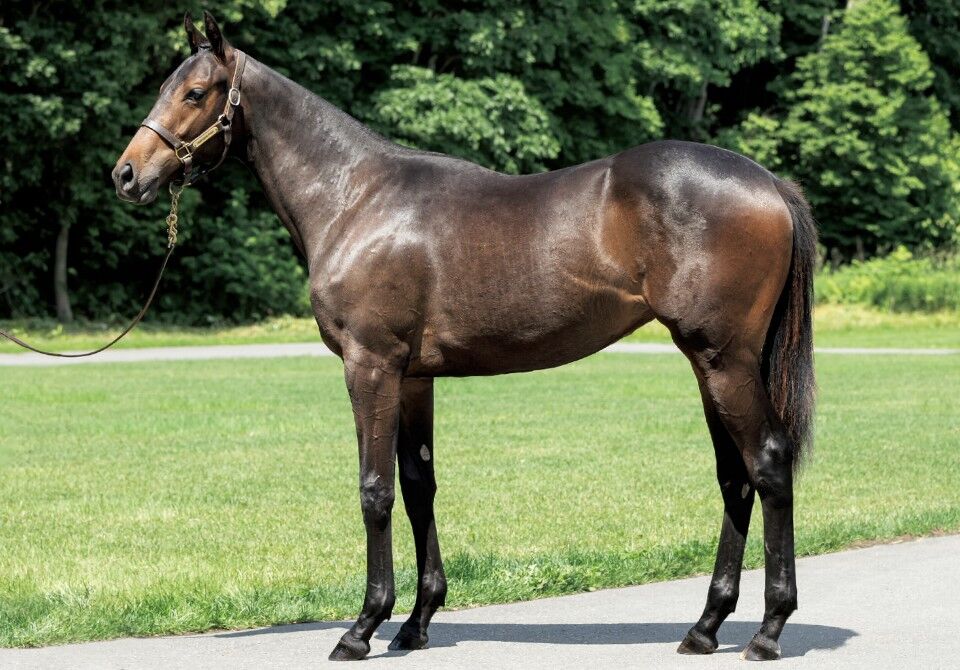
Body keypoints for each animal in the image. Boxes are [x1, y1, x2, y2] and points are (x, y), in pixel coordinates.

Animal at [113, 12, 816, 662]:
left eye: (196, 92)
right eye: (165, 86)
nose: (125, 175)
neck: (355, 198)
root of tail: (769, 184)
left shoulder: (370, 366)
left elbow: (375, 490)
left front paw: (363, 628)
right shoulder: (414, 377)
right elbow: (418, 487)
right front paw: (416, 623)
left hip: (723, 359)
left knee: (767, 462)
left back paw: (768, 629)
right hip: (708, 362)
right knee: (735, 477)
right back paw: (705, 628)